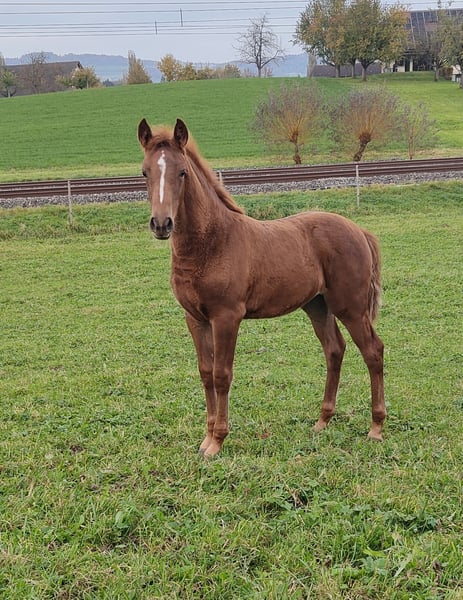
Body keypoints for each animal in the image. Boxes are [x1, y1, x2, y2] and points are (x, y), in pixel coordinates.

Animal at [138, 117, 385, 457]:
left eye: (182, 172)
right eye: (145, 172)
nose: (162, 224)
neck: (212, 243)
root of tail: (359, 230)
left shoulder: (226, 317)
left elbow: (222, 374)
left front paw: (217, 441)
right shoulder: (195, 319)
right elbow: (205, 373)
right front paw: (205, 439)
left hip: (351, 307)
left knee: (373, 351)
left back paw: (376, 427)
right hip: (317, 306)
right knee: (334, 350)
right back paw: (322, 421)